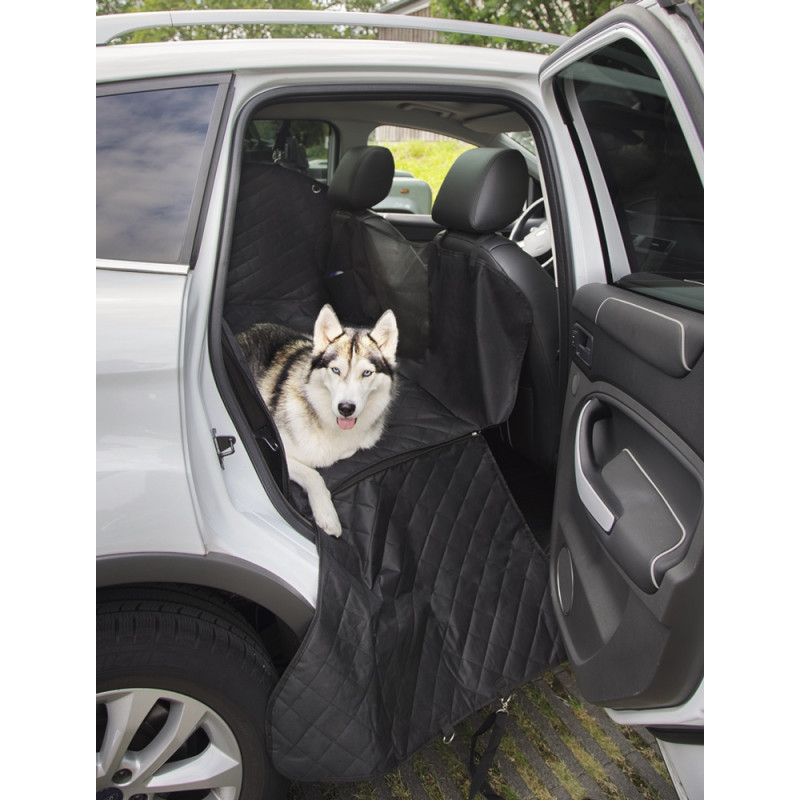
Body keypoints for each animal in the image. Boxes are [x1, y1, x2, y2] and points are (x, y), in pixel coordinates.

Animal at [236, 304, 398, 537]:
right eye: (335, 370)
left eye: (367, 373)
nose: (346, 408)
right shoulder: (281, 453)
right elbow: (313, 473)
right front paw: (327, 515)